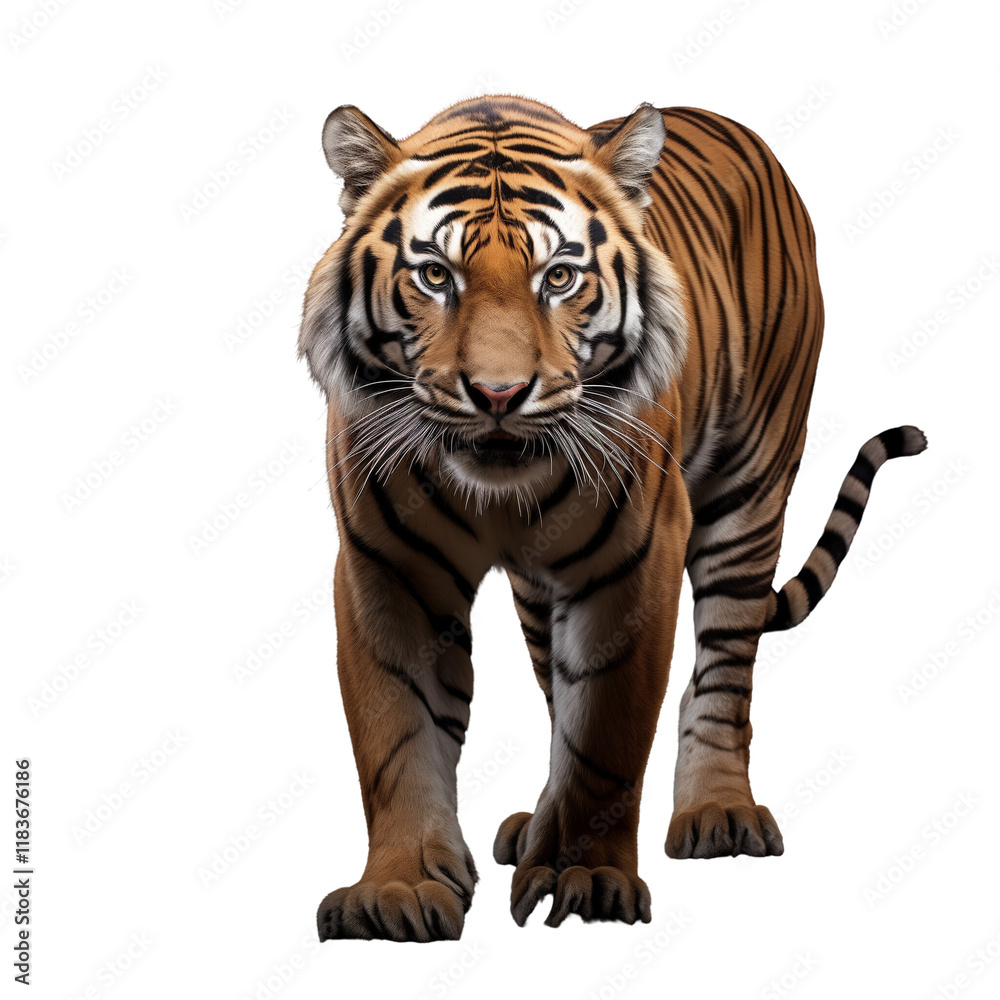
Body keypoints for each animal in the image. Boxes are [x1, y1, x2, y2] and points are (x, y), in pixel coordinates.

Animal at [298, 94, 926, 941]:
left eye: (559, 278)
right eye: (435, 276)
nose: (498, 395)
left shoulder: (636, 557)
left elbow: (607, 731)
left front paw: (590, 878)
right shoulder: (387, 568)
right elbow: (397, 730)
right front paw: (396, 888)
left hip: (751, 488)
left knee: (723, 665)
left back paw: (718, 812)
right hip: (540, 592)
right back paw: (533, 828)